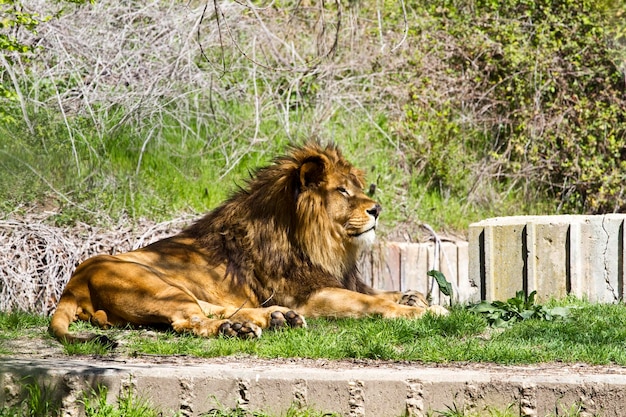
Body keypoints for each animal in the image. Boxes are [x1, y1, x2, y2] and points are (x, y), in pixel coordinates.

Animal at [51, 141, 446, 342]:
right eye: (343, 191)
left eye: (358, 188)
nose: (377, 209)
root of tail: (73, 285)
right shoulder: (311, 297)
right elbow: (371, 303)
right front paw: (423, 311)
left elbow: (381, 292)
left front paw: (415, 297)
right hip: (155, 286)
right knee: (189, 321)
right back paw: (241, 328)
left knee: (210, 309)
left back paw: (273, 318)